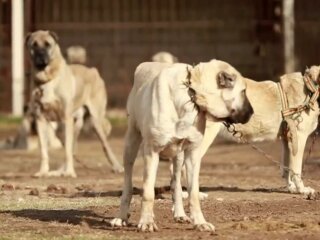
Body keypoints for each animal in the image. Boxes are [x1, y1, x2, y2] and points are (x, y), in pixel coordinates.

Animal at [24, 29, 122, 176]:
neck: (48, 78)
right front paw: (43, 171)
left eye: (47, 44)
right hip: (66, 127)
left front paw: (70, 172)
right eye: (34, 45)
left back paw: (117, 166)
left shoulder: (66, 118)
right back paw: (59, 171)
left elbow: (67, 151)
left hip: (94, 121)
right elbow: (44, 151)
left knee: (104, 145)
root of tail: (93, 70)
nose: (40, 56)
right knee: (72, 148)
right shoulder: (40, 119)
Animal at [109, 60, 252, 232]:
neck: (190, 94)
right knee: (128, 184)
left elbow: (193, 193)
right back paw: (121, 217)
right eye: (243, 91)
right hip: (131, 144)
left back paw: (180, 213)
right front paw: (146, 222)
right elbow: (148, 193)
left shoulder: (192, 154)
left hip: (178, 156)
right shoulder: (151, 152)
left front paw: (200, 222)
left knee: (175, 183)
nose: (252, 113)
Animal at [195, 66, 320, 196]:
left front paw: (291, 188)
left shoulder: (287, 141)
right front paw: (302, 190)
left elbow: (287, 170)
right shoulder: (299, 139)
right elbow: (296, 170)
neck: (310, 87)